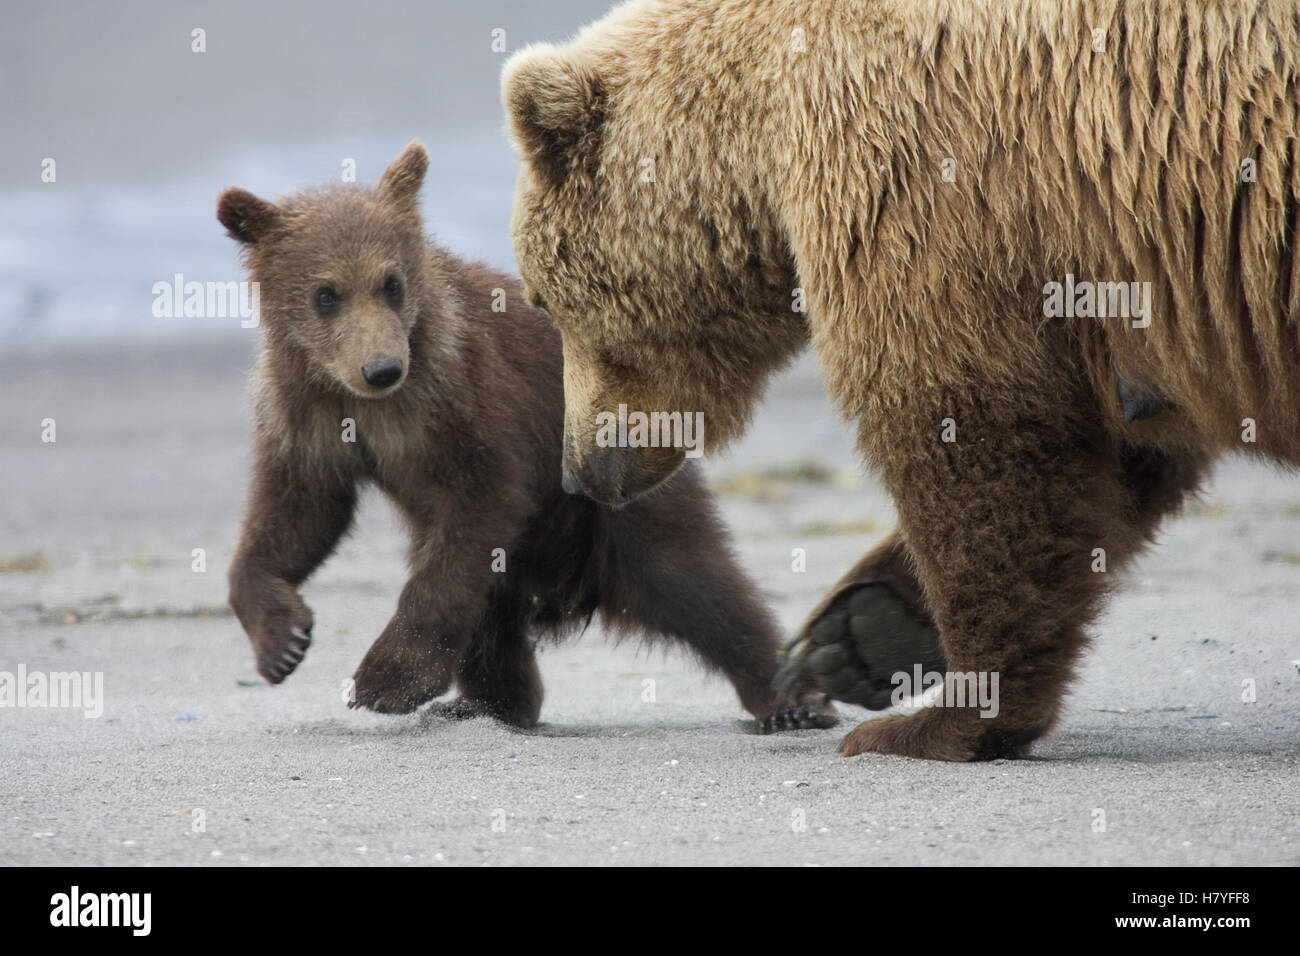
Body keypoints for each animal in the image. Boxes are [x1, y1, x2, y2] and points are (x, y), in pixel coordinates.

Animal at [219, 141, 836, 732]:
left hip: (614, 499)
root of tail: (563, 589)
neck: (365, 403)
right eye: (326, 293)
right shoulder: (308, 413)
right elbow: (300, 512)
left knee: (696, 584)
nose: (382, 368)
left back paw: (793, 700)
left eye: (390, 283)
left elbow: (480, 496)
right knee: (492, 622)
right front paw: (282, 641)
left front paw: (384, 680)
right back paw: (487, 706)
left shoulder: (461, 397)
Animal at [501, 0, 1299, 760]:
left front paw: (941, 720)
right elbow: (1119, 441)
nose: (579, 471)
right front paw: (857, 631)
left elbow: (968, 428)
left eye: (543, 297)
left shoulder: (921, 179)